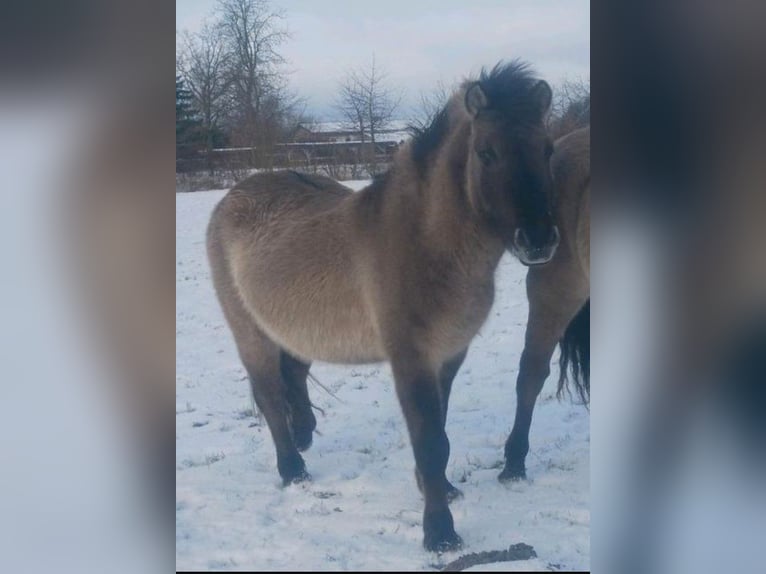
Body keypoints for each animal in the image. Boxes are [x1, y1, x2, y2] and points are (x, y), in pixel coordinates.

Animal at [207, 63, 560, 552]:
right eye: (486, 152)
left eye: (547, 149)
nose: (539, 240)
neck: (428, 243)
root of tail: (232, 198)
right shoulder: (411, 358)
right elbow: (430, 441)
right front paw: (440, 532)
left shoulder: (449, 355)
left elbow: (439, 433)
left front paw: (439, 489)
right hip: (250, 333)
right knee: (270, 394)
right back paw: (292, 468)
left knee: (293, 376)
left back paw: (303, 435)